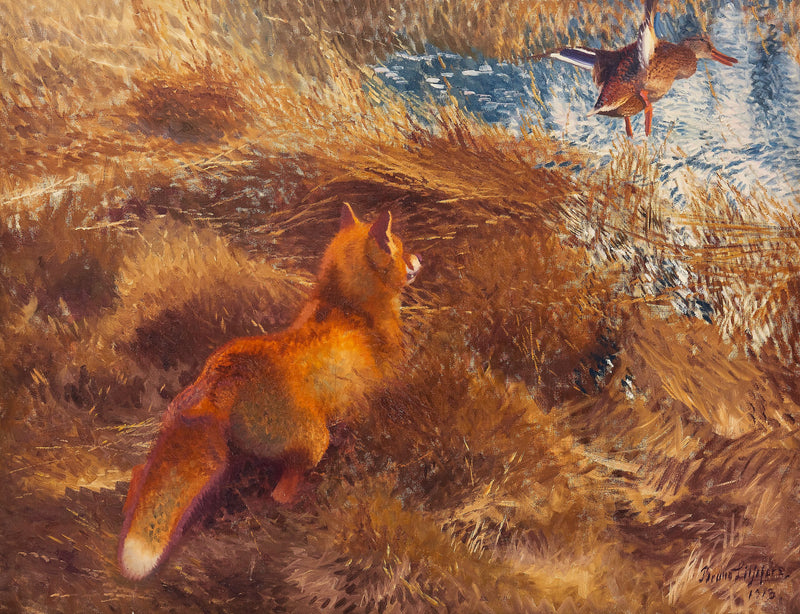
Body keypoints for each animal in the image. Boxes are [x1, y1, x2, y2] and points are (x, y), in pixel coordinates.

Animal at [118, 204, 421, 580]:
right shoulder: (372, 397)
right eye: (400, 247)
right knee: (282, 494)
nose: (419, 259)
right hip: (313, 442)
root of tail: (221, 377)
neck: (347, 307)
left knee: (139, 475)